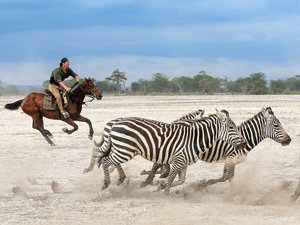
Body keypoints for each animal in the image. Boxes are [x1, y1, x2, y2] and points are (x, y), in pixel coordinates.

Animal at [96, 109, 246, 195]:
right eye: (231, 127)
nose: (244, 143)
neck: (194, 139)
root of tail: (115, 123)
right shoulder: (178, 159)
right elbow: (172, 176)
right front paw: (166, 192)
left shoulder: (184, 162)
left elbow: (181, 180)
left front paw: (162, 187)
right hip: (125, 150)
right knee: (105, 161)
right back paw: (106, 183)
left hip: (122, 149)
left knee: (108, 161)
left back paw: (118, 179)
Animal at [142, 107, 290, 190]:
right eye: (276, 125)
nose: (289, 140)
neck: (245, 138)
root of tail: (176, 122)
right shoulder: (231, 158)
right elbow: (228, 176)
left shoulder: (228, 160)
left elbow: (224, 176)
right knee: (158, 163)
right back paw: (148, 181)